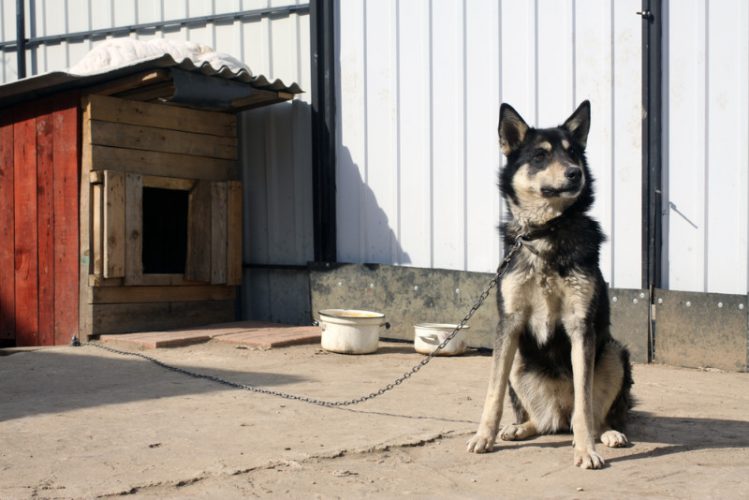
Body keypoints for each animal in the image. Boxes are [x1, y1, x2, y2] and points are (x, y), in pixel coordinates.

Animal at [464, 100, 636, 468]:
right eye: (540, 155)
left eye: (573, 153)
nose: (575, 173)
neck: (545, 232)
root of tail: (558, 412)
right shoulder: (509, 324)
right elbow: (493, 393)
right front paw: (483, 436)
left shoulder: (580, 326)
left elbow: (585, 405)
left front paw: (586, 451)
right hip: (518, 357)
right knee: (540, 423)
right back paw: (519, 428)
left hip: (613, 353)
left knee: (593, 416)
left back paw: (609, 434)